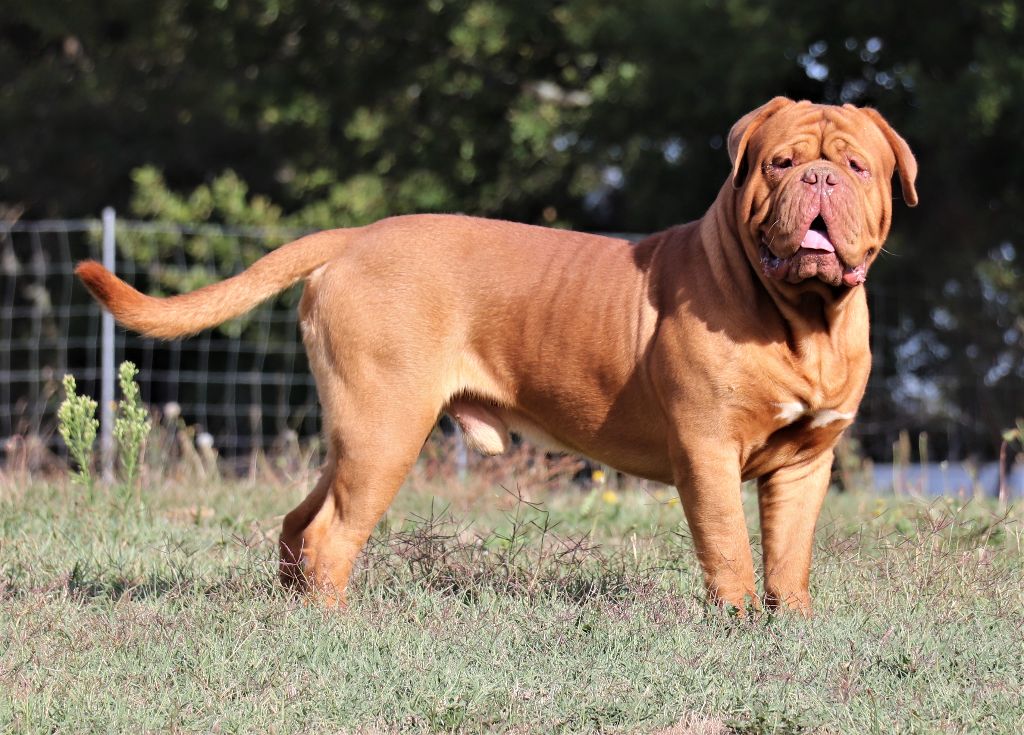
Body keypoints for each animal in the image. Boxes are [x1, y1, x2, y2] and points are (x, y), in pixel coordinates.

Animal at [75, 97, 917, 614]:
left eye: (856, 167)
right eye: (779, 163)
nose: (818, 177)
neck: (803, 320)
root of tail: (354, 236)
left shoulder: (806, 461)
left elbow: (789, 552)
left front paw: (790, 621)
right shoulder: (707, 449)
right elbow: (730, 547)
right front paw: (738, 620)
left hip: (360, 432)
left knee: (300, 520)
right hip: (387, 428)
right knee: (331, 532)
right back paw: (335, 622)